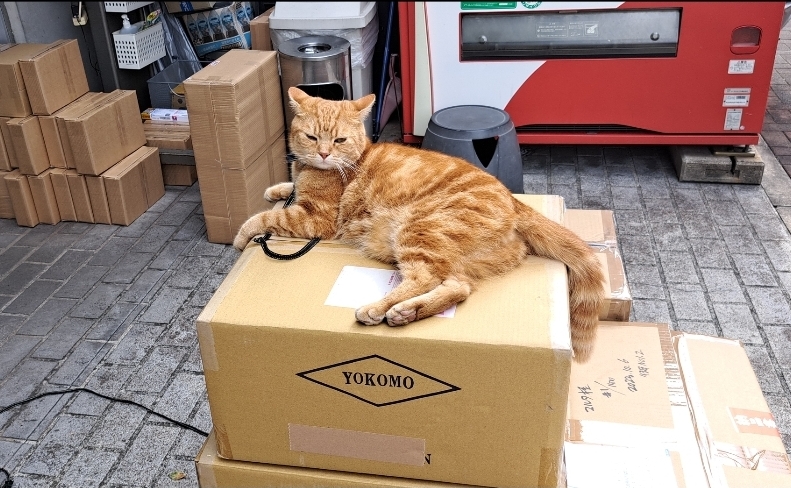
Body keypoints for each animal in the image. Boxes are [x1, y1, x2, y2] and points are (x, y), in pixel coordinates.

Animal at [234, 87, 606, 362]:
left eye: (338, 141)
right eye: (312, 137)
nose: (324, 154)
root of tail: (515, 202)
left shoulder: (315, 219)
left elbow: (265, 217)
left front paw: (241, 236)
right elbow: (286, 191)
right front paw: (277, 189)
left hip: (419, 230)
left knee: (424, 278)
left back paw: (379, 308)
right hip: (455, 258)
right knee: (458, 286)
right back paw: (407, 312)